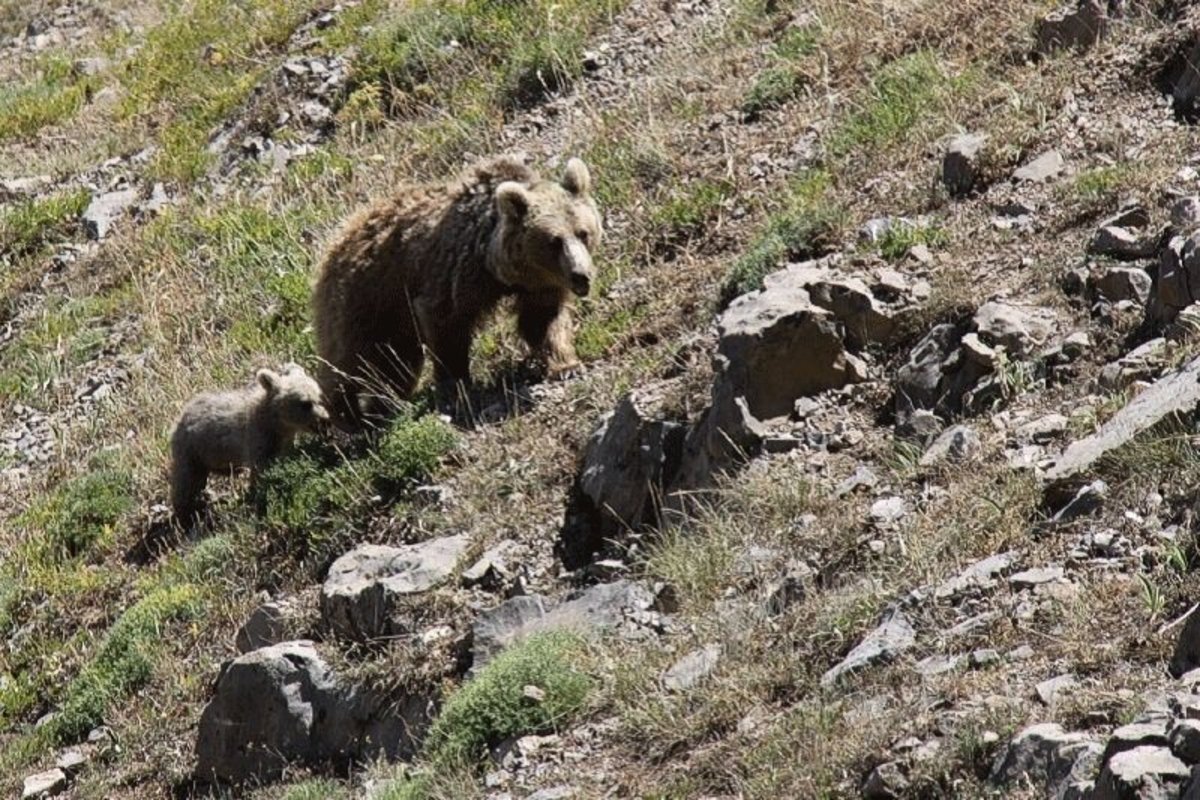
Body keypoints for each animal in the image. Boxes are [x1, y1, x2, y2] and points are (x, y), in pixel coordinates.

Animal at [169, 364, 328, 525]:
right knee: (186, 481)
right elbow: (261, 470)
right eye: (305, 403)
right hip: (191, 449)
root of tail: (180, 416)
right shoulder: (256, 438)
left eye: (319, 397)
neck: (277, 423)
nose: (324, 420)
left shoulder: (281, 442)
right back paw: (186, 515)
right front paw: (261, 495)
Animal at [314, 151, 604, 424]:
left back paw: (384, 407)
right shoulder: (457, 270)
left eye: (583, 233)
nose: (581, 276)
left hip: (394, 321)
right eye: (554, 241)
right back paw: (346, 414)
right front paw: (457, 386)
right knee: (349, 360)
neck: (497, 267)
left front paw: (566, 365)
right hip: (363, 299)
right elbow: (446, 322)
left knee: (398, 365)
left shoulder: (539, 286)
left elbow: (542, 321)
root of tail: (339, 237)